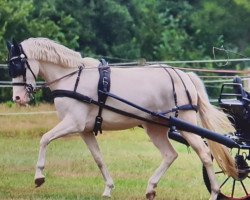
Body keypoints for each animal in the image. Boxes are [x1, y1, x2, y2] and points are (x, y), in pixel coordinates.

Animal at [6, 38, 236, 200]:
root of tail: (184, 75)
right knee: (170, 155)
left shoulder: (73, 123)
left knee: (205, 153)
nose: (17, 98)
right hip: (155, 127)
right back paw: (150, 189)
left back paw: (215, 192)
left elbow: (44, 138)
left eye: (17, 66)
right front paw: (108, 188)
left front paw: (39, 176)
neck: (72, 78)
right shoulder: (85, 130)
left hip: (186, 124)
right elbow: (98, 158)